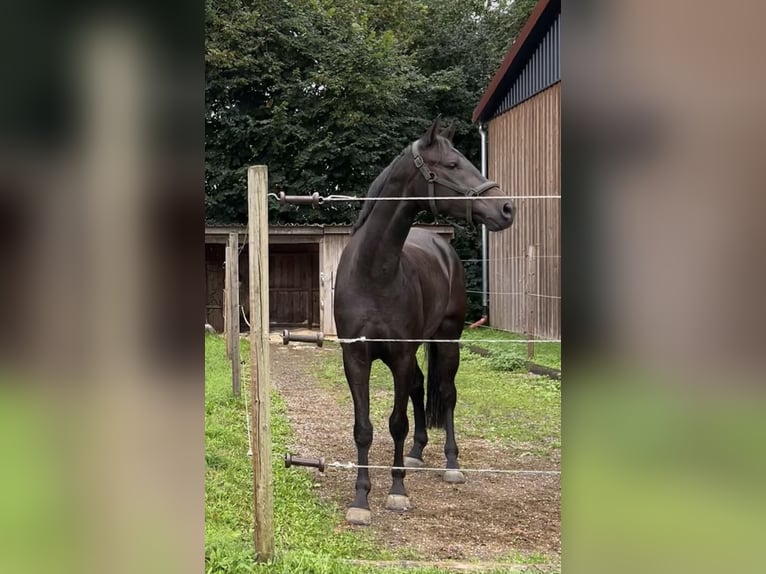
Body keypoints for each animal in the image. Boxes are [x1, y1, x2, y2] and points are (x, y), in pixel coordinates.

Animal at [333, 116, 516, 525]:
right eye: (452, 164)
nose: (506, 208)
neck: (374, 273)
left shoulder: (399, 355)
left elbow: (396, 423)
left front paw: (397, 491)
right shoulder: (356, 359)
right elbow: (363, 428)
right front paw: (360, 500)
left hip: (448, 342)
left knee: (446, 394)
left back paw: (451, 464)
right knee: (420, 386)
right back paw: (417, 453)